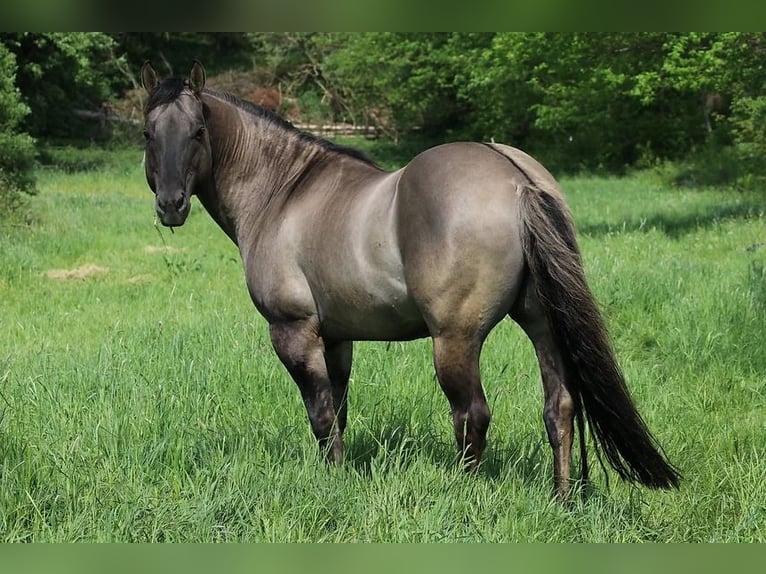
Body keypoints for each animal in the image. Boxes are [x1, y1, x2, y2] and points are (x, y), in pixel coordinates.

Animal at [140, 60, 680, 500]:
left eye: (197, 131)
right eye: (148, 133)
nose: (171, 205)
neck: (284, 192)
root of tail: (515, 179)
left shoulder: (294, 332)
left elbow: (320, 414)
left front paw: (333, 483)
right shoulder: (336, 338)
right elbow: (338, 410)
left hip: (454, 341)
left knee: (472, 414)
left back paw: (464, 492)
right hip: (542, 324)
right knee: (559, 407)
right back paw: (562, 498)